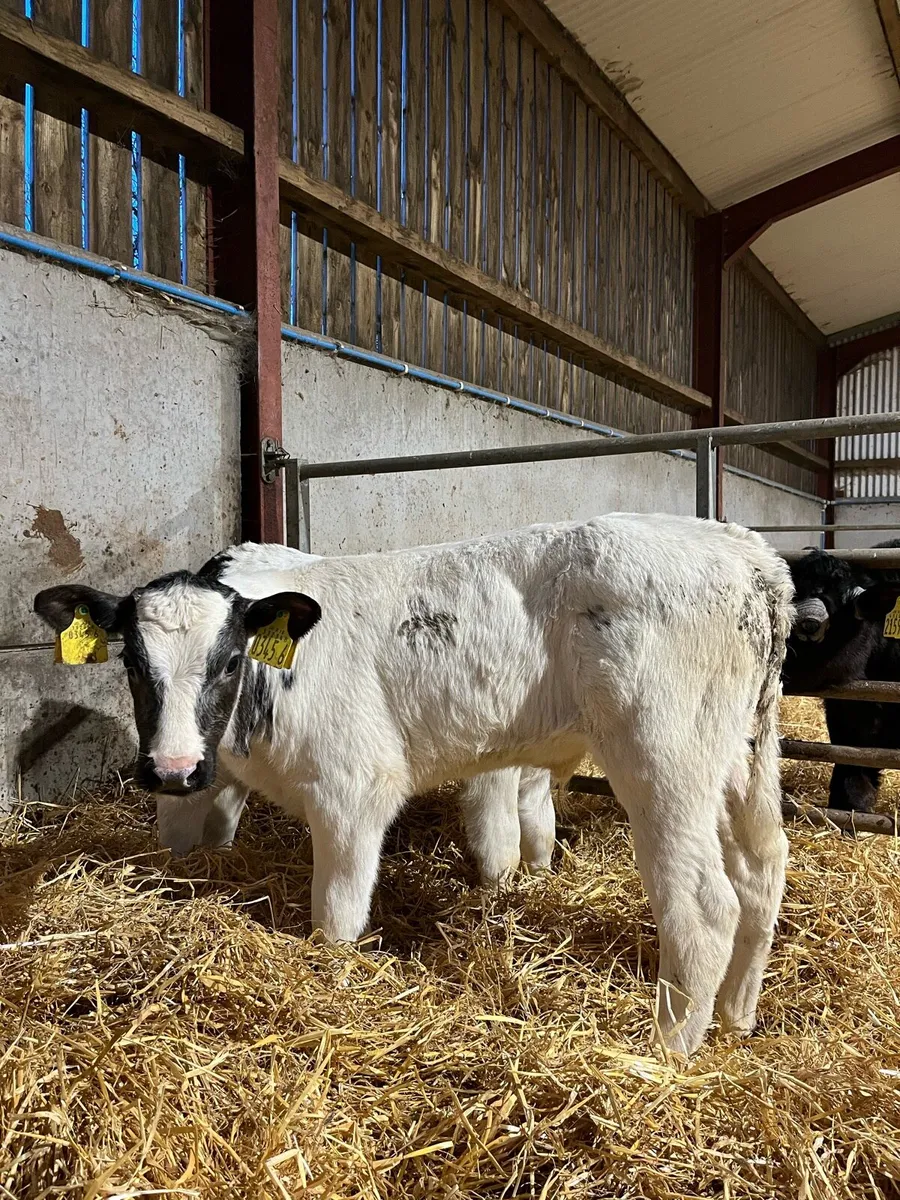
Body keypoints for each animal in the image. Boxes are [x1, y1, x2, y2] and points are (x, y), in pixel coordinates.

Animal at [150, 543, 556, 884]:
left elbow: (540, 822)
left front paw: (539, 872)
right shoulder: (494, 762)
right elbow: (500, 837)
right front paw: (498, 888)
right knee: (177, 820)